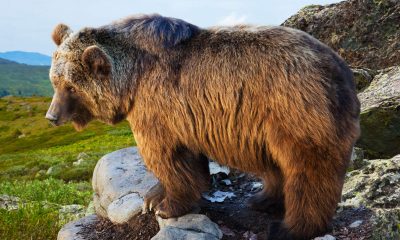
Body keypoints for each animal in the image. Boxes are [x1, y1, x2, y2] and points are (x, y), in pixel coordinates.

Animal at [46, 14, 360, 239]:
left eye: (71, 87)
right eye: (55, 81)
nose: (51, 116)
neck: (132, 78)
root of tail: (342, 70)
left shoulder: (157, 108)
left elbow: (167, 157)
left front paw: (167, 206)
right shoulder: (185, 116)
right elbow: (185, 160)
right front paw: (153, 198)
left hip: (294, 110)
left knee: (308, 171)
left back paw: (290, 228)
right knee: (277, 165)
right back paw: (261, 199)